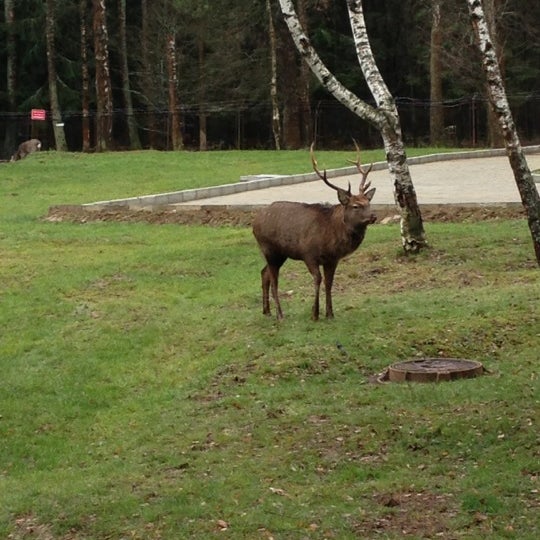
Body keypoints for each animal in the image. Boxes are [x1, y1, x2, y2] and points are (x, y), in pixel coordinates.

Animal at [252, 143, 376, 320]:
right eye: (355, 206)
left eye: (368, 202)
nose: (373, 216)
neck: (330, 237)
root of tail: (254, 222)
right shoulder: (308, 254)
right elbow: (318, 279)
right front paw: (314, 314)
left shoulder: (332, 260)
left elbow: (329, 283)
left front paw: (330, 313)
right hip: (268, 248)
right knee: (274, 279)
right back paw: (280, 314)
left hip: (280, 254)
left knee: (264, 273)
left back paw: (266, 311)